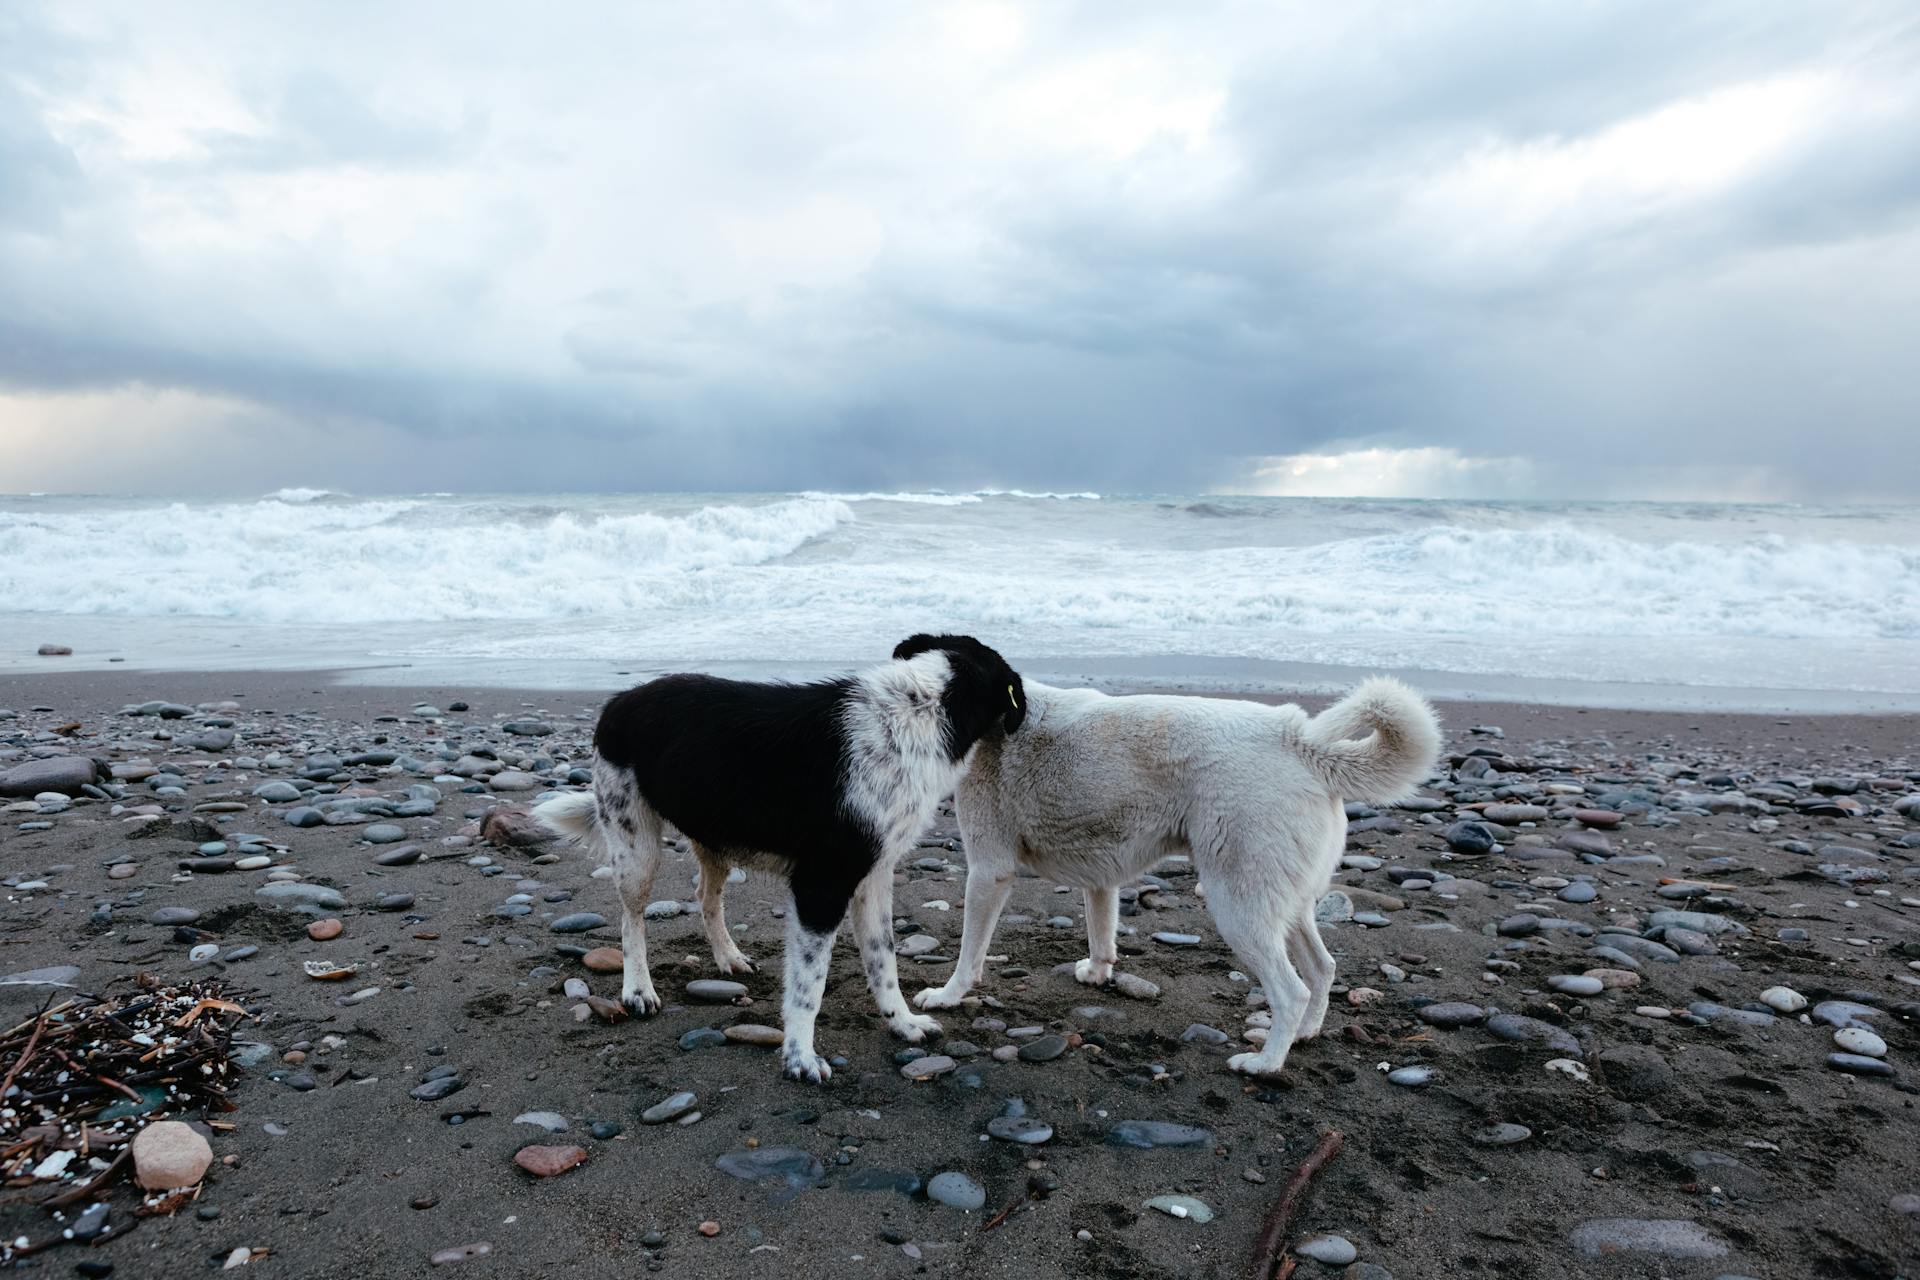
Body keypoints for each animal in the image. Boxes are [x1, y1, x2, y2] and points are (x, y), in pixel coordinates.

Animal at [533, 633, 1029, 1082]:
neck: (921, 710)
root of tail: (621, 699)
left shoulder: (873, 877)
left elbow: (883, 959)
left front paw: (902, 1023)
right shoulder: (821, 886)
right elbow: (809, 987)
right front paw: (800, 1057)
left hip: (715, 837)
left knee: (706, 897)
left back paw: (728, 957)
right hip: (636, 844)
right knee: (631, 917)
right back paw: (638, 988)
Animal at [913, 675, 1443, 1074]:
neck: (1003, 717)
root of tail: (1303, 744)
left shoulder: (988, 873)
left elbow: (969, 955)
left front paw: (947, 996)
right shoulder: (1100, 875)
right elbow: (1102, 932)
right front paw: (1098, 973)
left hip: (1238, 906)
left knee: (1291, 990)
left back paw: (1265, 1063)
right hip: (1285, 903)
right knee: (1322, 968)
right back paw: (1306, 1034)